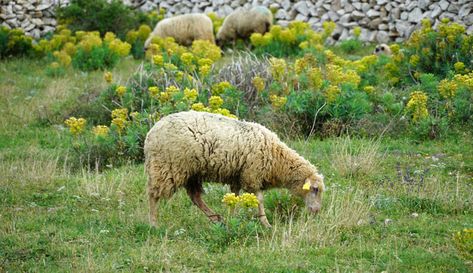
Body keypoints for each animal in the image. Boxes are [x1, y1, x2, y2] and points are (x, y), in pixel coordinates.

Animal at [144, 109, 324, 226]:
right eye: (314, 189)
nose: (316, 211)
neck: (277, 160)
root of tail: (150, 133)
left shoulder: (237, 177)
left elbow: (234, 199)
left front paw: (232, 219)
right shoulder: (252, 176)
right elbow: (259, 200)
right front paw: (266, 223)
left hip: (191, 172)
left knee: (195, 197)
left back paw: (216, 218)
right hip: (167, 167)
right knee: (153, 194)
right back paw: (153, 224)